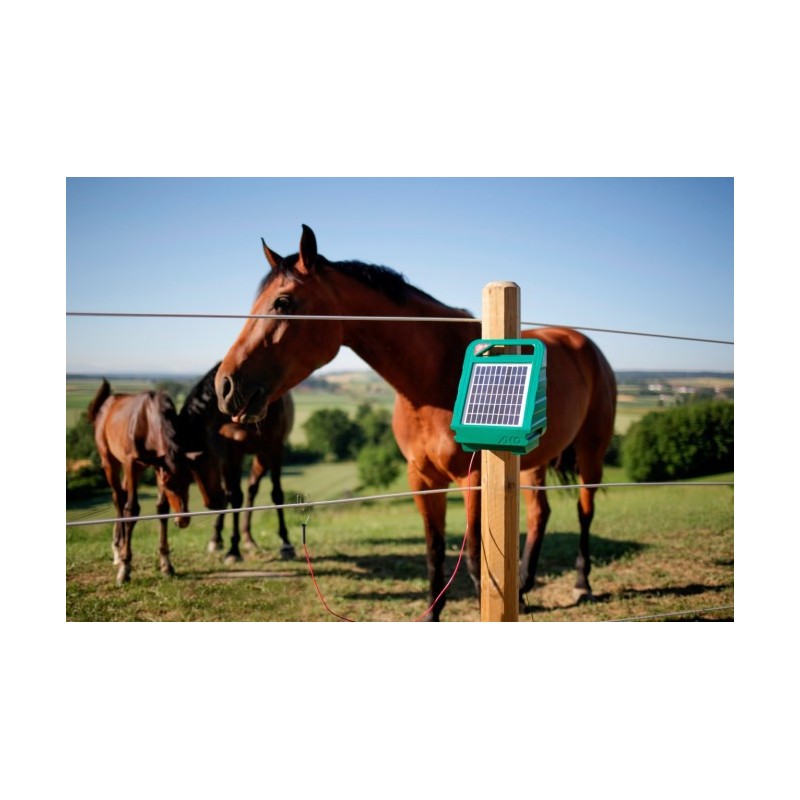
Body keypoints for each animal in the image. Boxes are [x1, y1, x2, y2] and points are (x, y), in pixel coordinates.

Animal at [86, 378, 193, 584]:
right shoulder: (131, 463)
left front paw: (166, 564)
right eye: (170, 484)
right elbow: (132, 509)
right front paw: (125, 568)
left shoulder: (158, 467)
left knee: (121, 495)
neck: (148, 420)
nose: (183, 520)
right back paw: (118, 551)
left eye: (190, 482)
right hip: (110, 462)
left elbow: (162, 509)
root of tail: (106, 404)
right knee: (119, 498)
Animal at [178, 362, 296, 564]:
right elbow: (234, 497)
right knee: (233, 492)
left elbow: (277, 495)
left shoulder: (274, 447)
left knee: (252, 489)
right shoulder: (231, 452)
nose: (211, 503)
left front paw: (286, 543)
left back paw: (248, 538)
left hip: (261, 455)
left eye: (202, 459)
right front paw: (233, 549)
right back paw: (217, 538)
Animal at [214, 223, 620, 620]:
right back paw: (522, 586)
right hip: (533, 462)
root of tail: (582, 343)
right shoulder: (422, 479)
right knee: (540, 514)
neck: (434, 376)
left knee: (585, 510)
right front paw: (433, 614)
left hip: (590, 453)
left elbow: (474, 561)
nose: (225, 385)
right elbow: (434, 550)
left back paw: (581, 583)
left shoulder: (472, 478)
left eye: (282, 302)